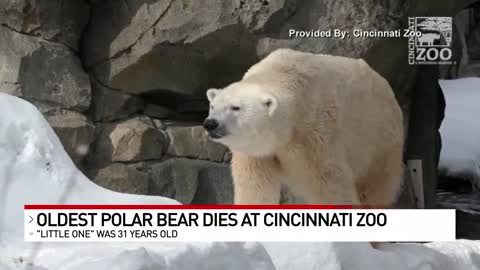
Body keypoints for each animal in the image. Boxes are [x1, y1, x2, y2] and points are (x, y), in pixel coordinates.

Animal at [202, 48, 404, 206]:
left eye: (235, 107)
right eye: (213, 106)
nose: (210, 123)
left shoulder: (314, 136)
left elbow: (330, 185)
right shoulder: (256, 154)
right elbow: (255, 186)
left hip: (379, 138)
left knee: (375, 186)